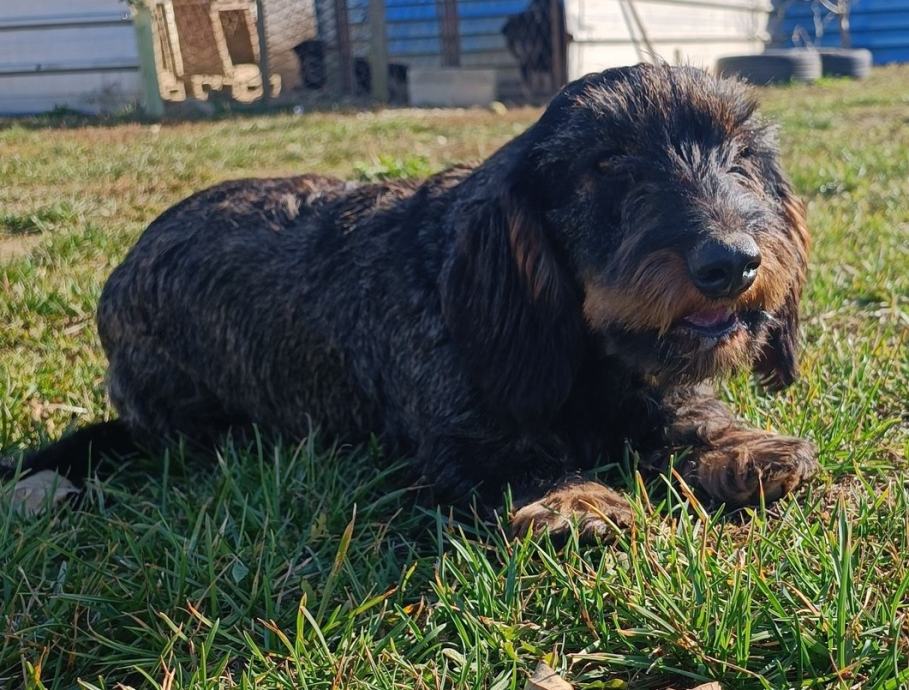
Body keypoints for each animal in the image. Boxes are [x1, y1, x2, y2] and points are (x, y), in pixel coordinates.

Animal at [5, 64, 817, 537]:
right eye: (609, 161)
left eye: (741, 157)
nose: (731, 263)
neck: (583, 350)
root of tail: (122, 268)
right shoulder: (462, 444)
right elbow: (517, 468)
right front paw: (577, 502)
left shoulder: (656, 388)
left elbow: (690, 420)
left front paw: (748, 447)